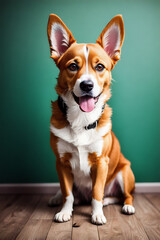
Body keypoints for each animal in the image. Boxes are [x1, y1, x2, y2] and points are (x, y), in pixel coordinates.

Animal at [47, 13, 135, 225]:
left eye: (100, 66)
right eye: (73, 66)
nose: (86, 85)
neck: (81, 119)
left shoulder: (101, 163)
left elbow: (96, 192)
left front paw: (97, 214)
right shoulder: (61, 163)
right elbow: (67, 193)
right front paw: (65, 211)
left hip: (126, 172)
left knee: (124, 195)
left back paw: (125, 205)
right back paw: (56, 198)